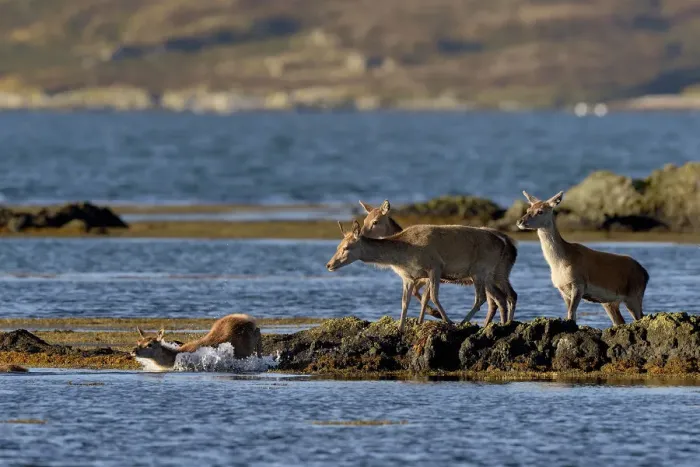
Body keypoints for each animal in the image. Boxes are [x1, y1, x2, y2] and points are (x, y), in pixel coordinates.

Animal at [131, 313, 263, 370]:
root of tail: (249, 319)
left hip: (248, 343)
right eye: (138, 342)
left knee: (259, 332)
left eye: (150, 344)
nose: (133, 351)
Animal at [326, 219, 515, 331]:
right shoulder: (409, 277)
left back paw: (462, 323)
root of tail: (503, 242)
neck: (403, 256)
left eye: (346, 247)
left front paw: (447, 321)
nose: (329, 265)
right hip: (489, 273)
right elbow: (405, 302)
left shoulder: (435, 266)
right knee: (501, 297)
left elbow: (433, 296)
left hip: (479, 270)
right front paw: (400, 328)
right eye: (337, 246)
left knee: (482, 298)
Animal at [358, 199, 518, 325]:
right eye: (364, 220)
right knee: (500, 299)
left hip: (496, 272)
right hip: (493, 275)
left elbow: (425, 296)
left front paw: (428, 317)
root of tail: (510, 245)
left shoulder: (429, 273)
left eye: (375, 222)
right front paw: (425, 318)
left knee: (504, 297)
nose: (362, 235)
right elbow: (421, 295)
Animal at [516, 190, 649, 325]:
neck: (561, 263)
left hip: (634, 295)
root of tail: (645, 273)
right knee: (620, 321)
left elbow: (571, 314)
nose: (520, 222)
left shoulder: (578, 283)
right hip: (611, 302)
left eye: (540, 211)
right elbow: (571, 315)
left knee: (641, 317)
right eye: (528, 209)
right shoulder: (563, 290)